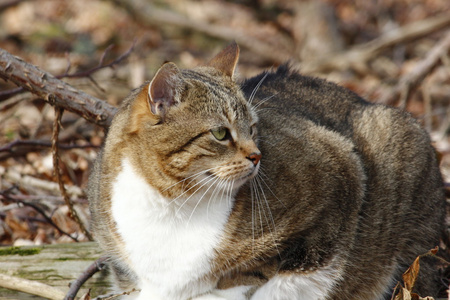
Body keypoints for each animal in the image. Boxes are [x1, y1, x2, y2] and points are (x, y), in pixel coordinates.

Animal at [88, 42, 446, 300]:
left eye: (253, 128)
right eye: (221, 133)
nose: (257, 156)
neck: (172, 205)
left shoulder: (340, 172)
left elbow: (279, 270)